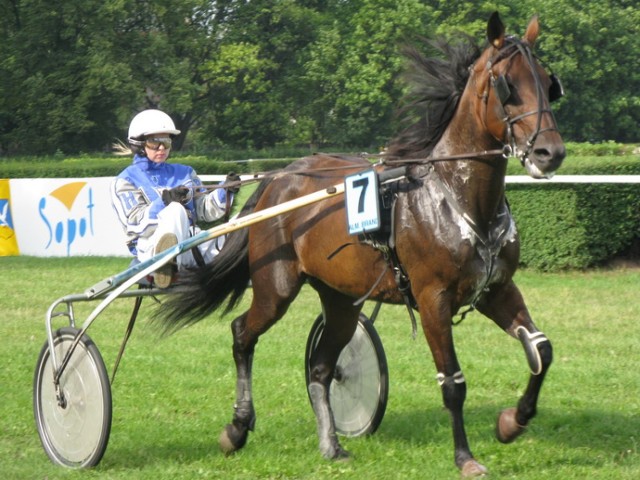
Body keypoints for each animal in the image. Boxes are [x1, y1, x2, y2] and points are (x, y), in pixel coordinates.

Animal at [160, 11, 564, 476]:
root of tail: (280, 178)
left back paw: (331, 443)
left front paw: (512, 422)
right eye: (507, 85)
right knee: (243, 333)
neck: (456, 194)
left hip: (340, 299)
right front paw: (465, 458)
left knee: (320, 367)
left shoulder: (495, 290)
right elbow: (453, 383)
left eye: (548, 81)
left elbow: (542, 350)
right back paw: (237, 427)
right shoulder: (433, 299)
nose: (550, 152)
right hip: (276, 287)